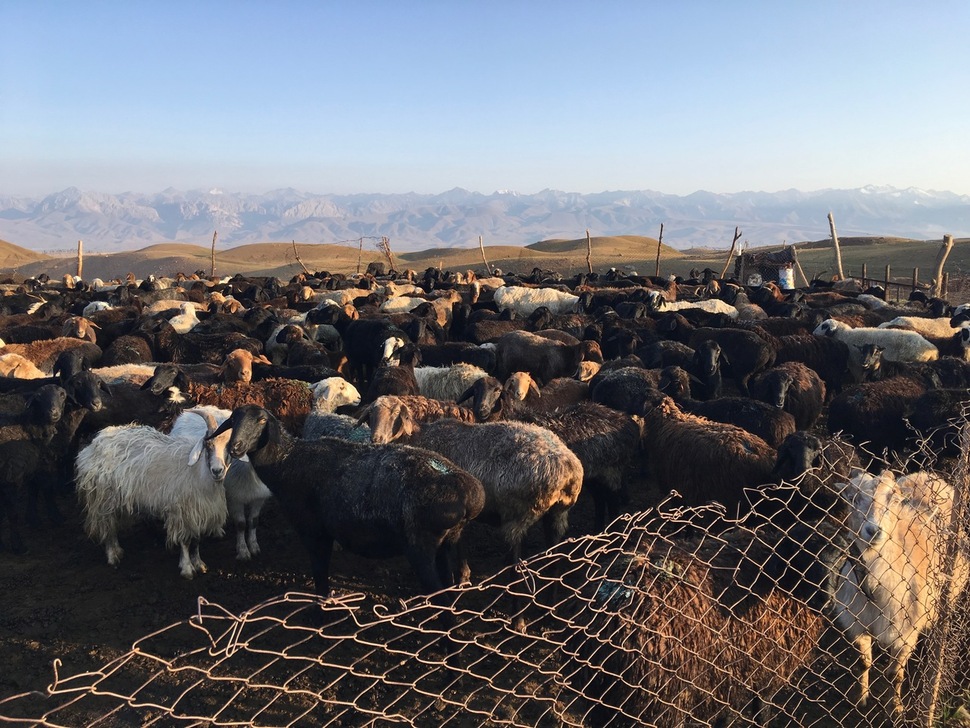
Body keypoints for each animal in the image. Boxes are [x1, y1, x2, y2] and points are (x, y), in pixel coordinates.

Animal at [76, 410, 231, 576]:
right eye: (208, 445)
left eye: (229, 447)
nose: (217, 470)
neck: (198, 473)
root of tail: (95, 443)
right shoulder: (181, 512)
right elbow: (185, 541)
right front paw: (187, 568)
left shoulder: (200, 513)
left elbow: (196, 540)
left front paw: (199, 564)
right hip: (103, 499)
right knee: (107, 527)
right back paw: (112, 556)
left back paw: (118, 550)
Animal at [209, 404, 488, 596]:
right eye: (233, 420)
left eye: (261, 420)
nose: (235, 447)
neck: (286, 460)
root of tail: (471, 493)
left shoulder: (314, 531)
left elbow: (320, 577)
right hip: (446, 543)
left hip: (421, 546)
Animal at [832, 470, 968, 712]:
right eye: (853, 499)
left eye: (893, 500)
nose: (873, 530)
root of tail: (929, 475)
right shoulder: (857, 622)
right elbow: (863, 663)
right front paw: (861, 699)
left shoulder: (907, 633)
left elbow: (894, 674)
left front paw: (895, 707)